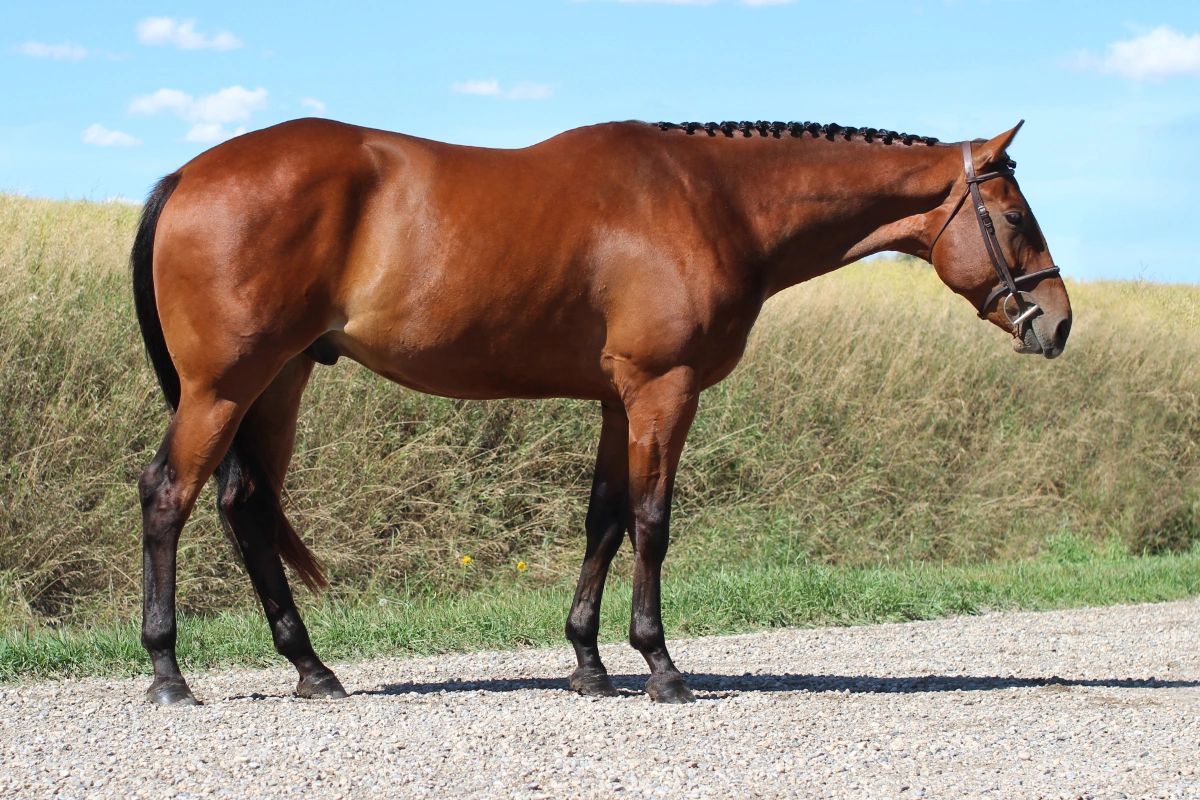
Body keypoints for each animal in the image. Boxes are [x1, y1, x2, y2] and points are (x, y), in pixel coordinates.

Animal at [131, 117, 1071, 705]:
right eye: (1013, 215)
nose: (1055, 323)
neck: (714, 200)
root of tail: (189, 175)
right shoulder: (665, 387)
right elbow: (653, 522)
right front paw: (659, 664)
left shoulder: (621, 401)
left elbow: (605, 518)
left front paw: (587, 661)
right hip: (224, 387)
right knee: (167, 496)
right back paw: (170, 673)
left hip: (281, 381)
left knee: (245, 508)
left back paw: (312, 669)